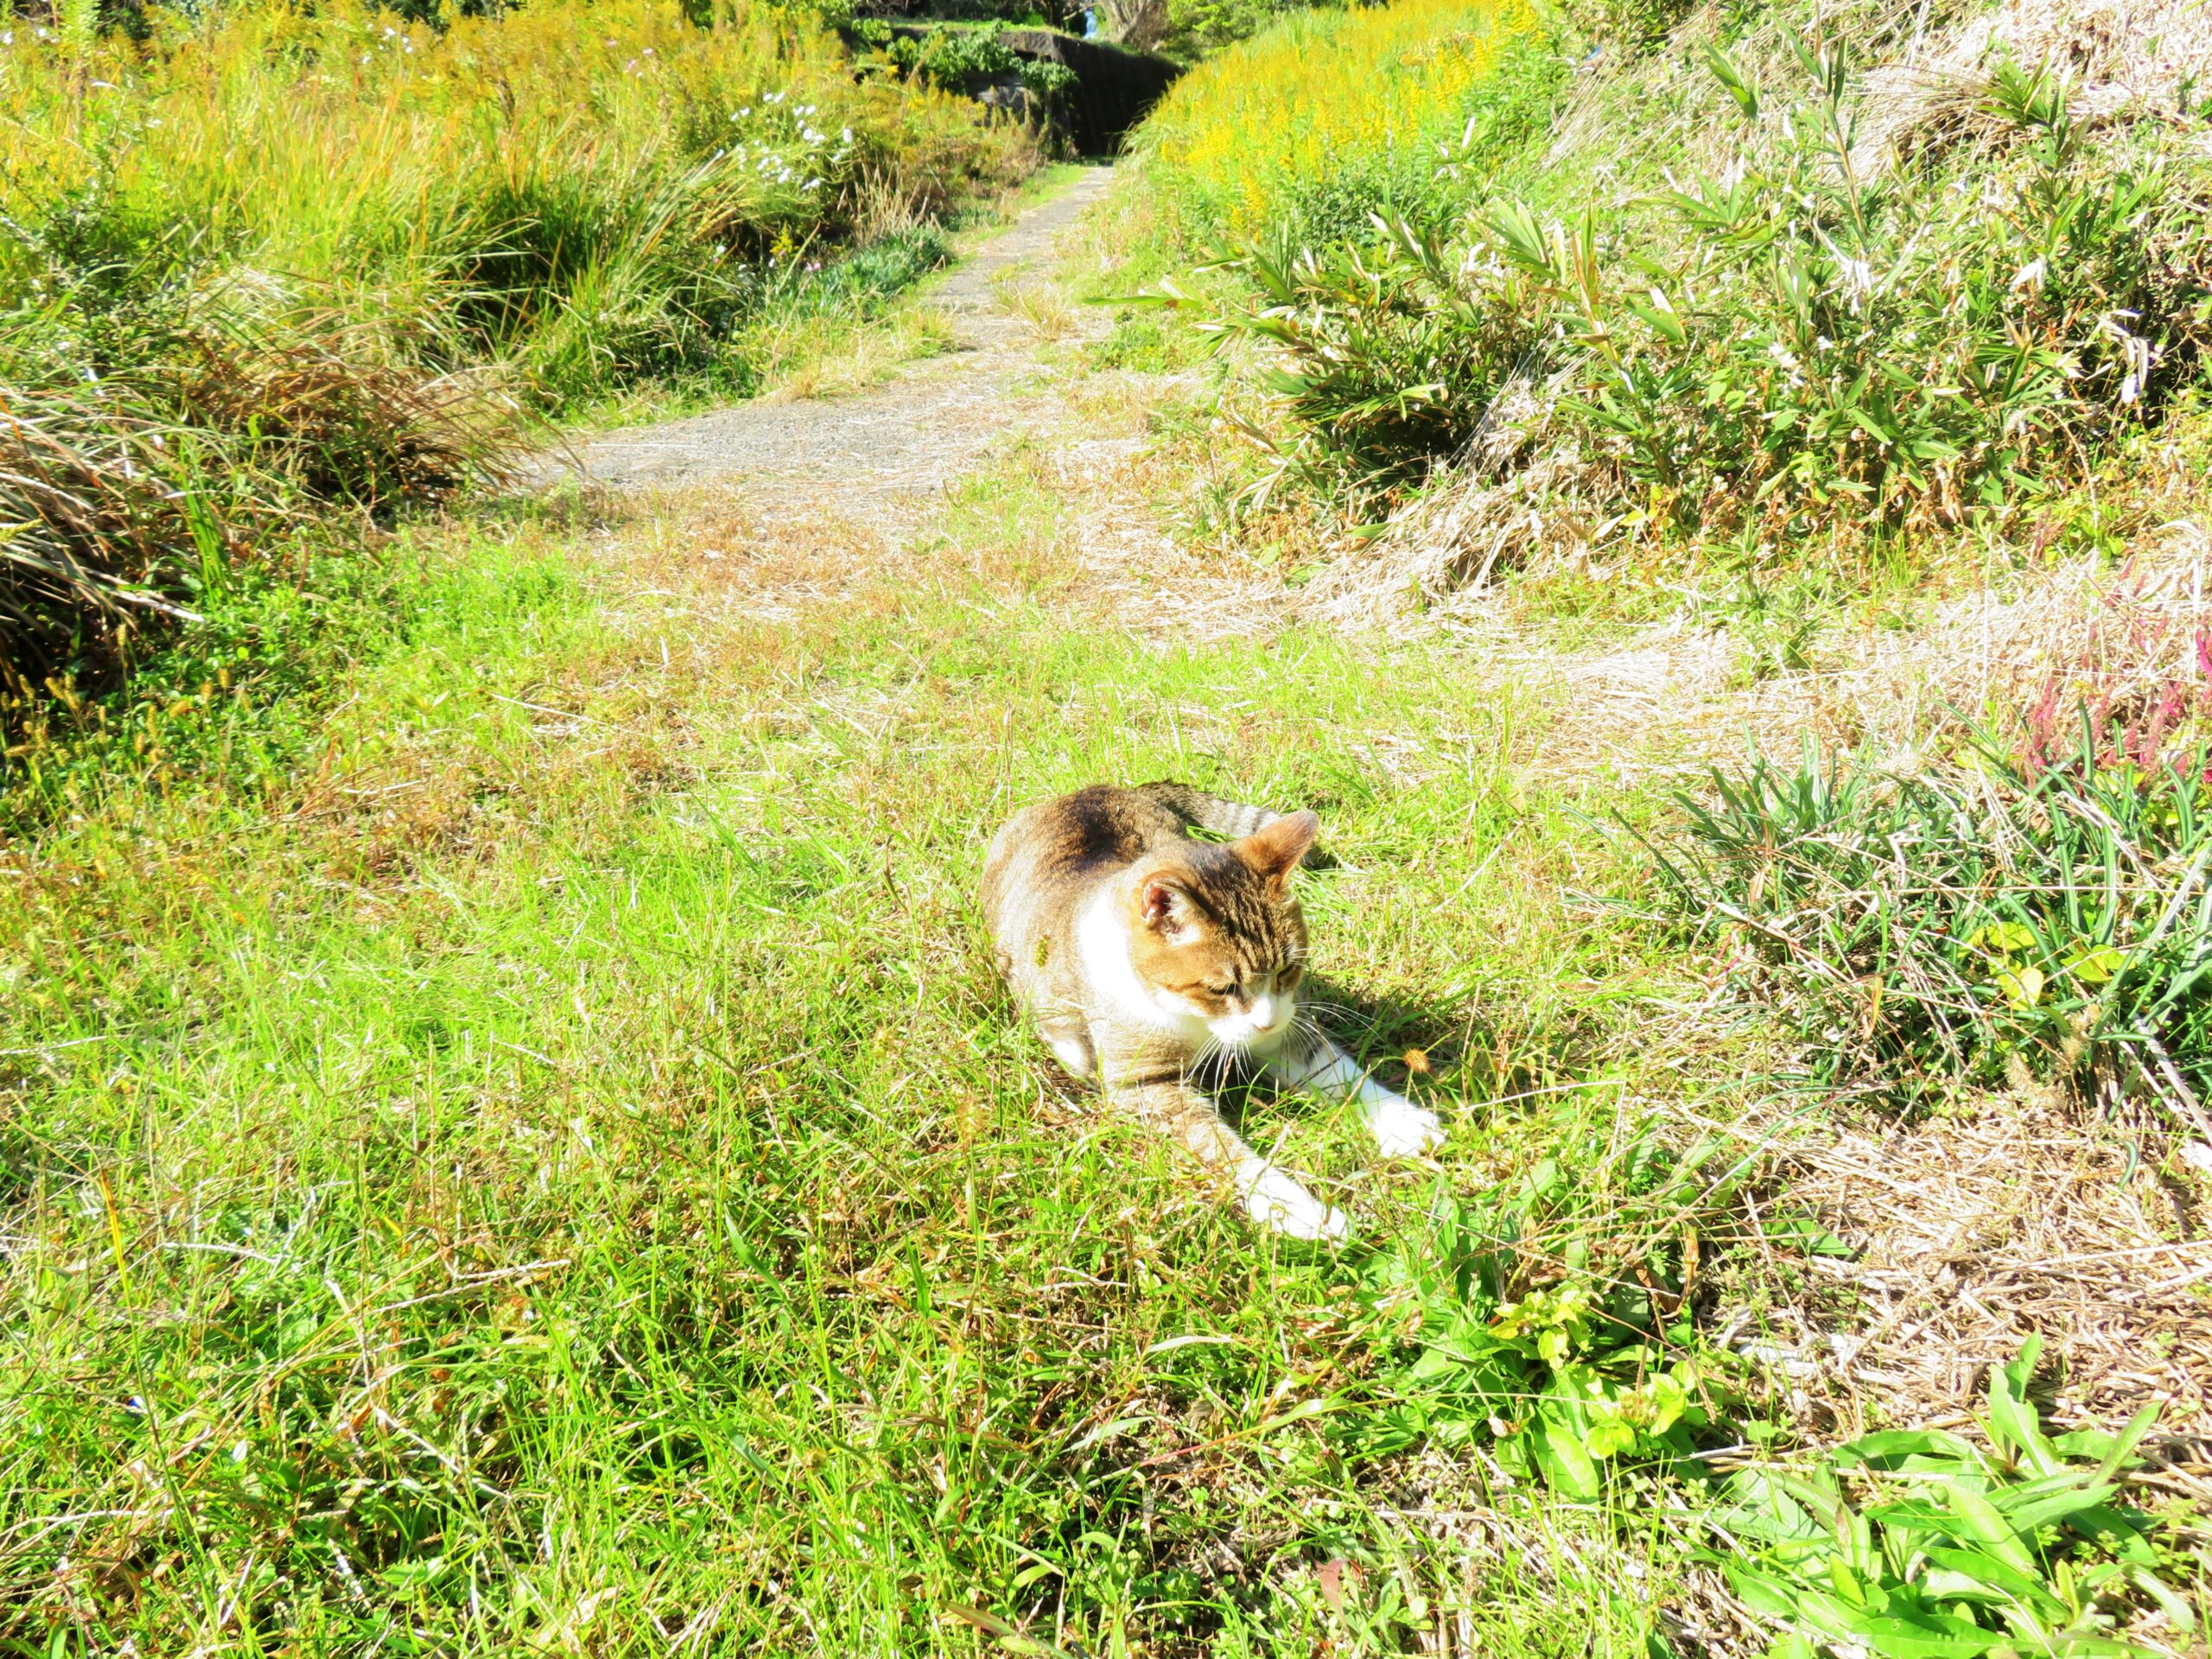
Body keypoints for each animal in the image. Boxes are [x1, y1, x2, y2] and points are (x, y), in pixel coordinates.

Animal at [982, 787, 1433, 1238]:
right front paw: (1297, 1211)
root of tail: (1092, 790)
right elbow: (1222, 1150)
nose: (1266, 1021)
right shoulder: (1145, 1083)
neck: (1193, 1019)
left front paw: (1399, 1119)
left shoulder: (1281, 1028)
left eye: (1287, 970)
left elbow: (1331, 1068)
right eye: (1221, 989)